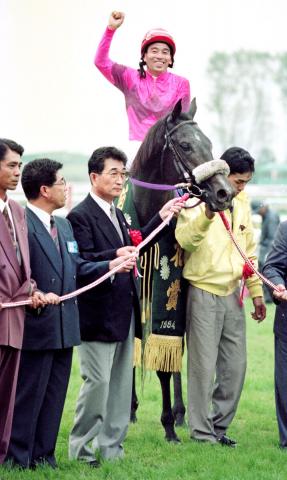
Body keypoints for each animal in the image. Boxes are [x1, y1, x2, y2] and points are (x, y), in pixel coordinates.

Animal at [124, 97, 234, 442]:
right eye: (185, 145)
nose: (224, 193)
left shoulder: (170, 289)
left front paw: (170, 423)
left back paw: (181, 412)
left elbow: (168, 357)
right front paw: (132, 409)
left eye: (210, 144)